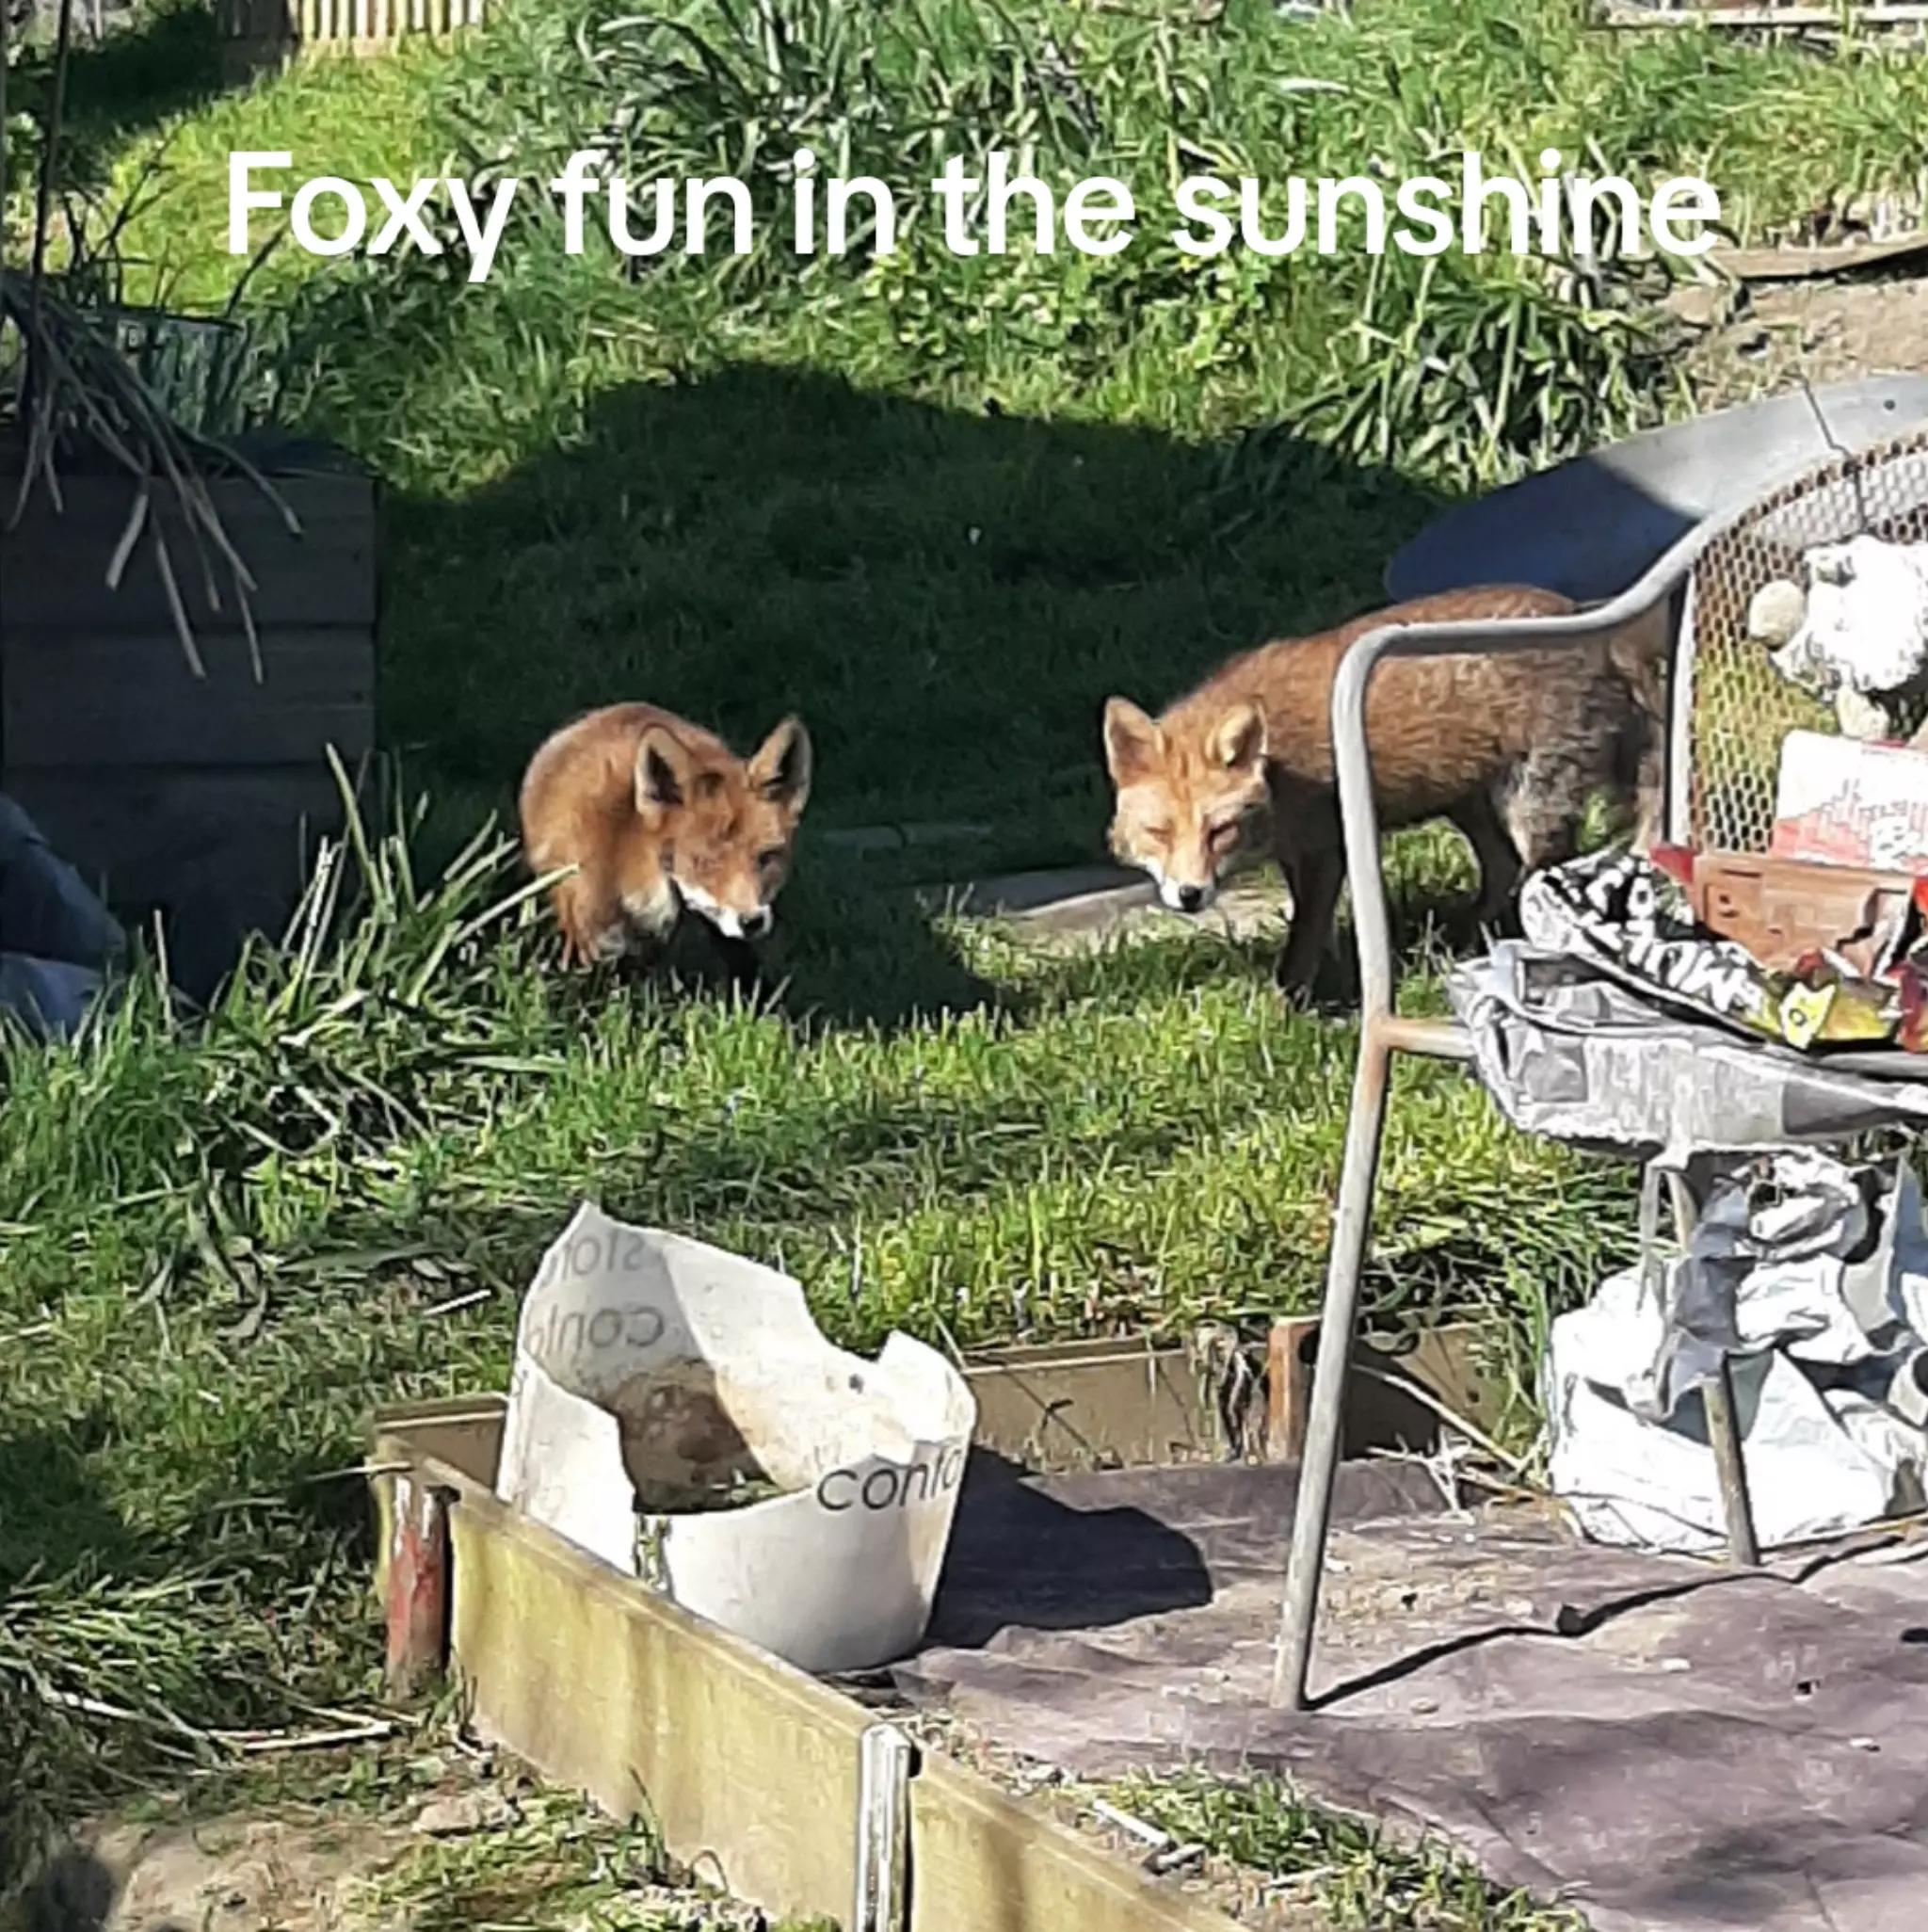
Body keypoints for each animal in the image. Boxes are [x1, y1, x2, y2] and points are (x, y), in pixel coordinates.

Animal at [1101, 584, 1670, 999]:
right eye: (1158, 833)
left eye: (1220, 831)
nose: (1189, 895)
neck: (1279, 768)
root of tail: (1590, 624)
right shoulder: (1300, 850)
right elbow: (1313, 923)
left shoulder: (1327, 848)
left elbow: (1304, 933)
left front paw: (1289, 1003)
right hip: (1470, 803)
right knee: (1502, 868)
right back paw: (1467, 942)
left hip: (1531, 804)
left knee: (1537, 870)